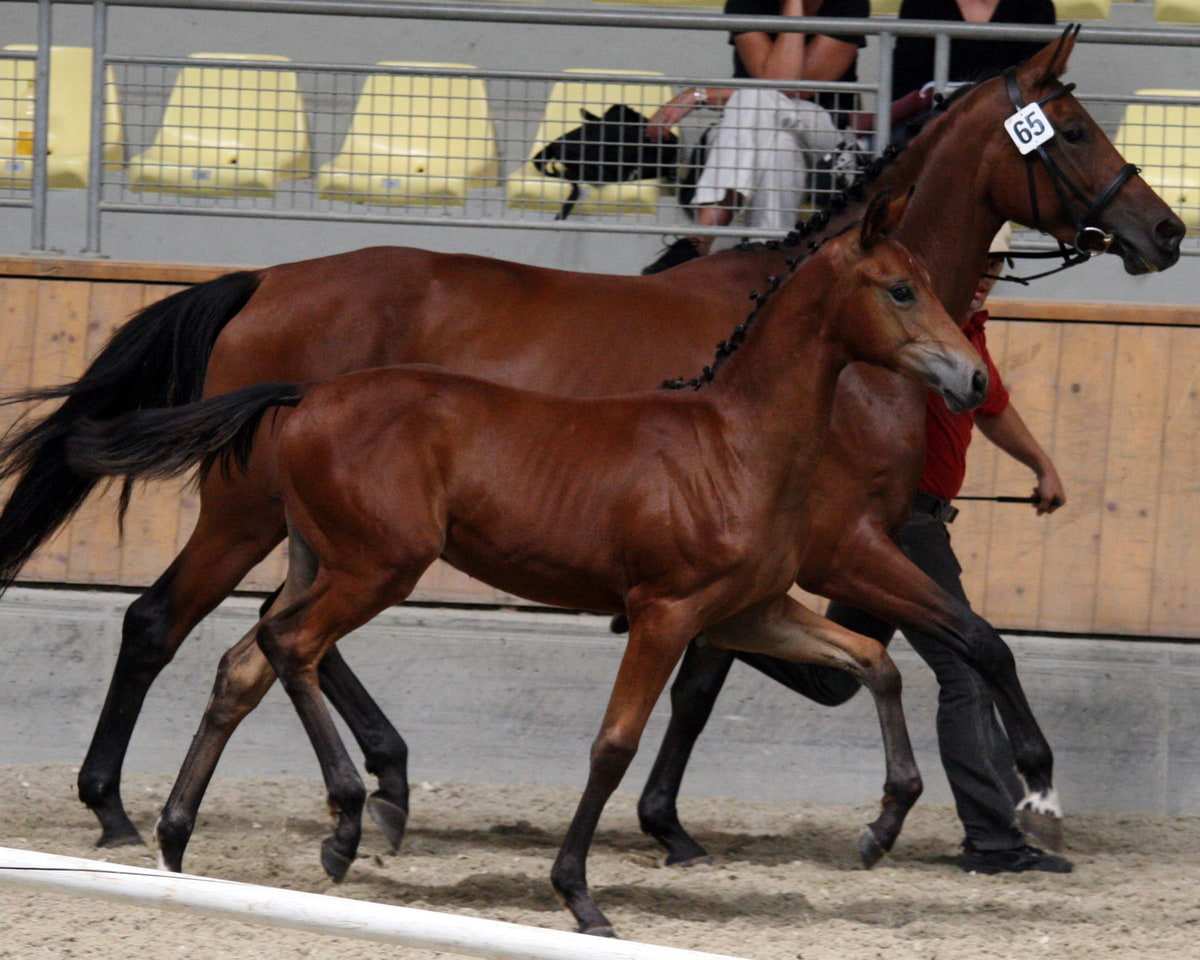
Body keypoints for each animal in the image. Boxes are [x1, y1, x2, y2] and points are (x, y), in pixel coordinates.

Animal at [0, 28, 1183, 855]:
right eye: (1078, 131)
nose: (1165, 230)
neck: (824, 349)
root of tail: (264, 281)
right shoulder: (848, 539)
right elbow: (972, 643)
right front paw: (1036, 794)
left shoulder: (797, 554)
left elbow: (735, 677)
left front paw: (671, 819)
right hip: (252, 512)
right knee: (172, 622)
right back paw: (123, 808)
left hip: (319, 529)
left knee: (277, 634)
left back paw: (381, 780)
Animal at [64, 192, 987, 936]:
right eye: (900, 288)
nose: (974, 378)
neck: (735, 441)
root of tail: (306, 396)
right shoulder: (666, 611)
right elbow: (613, 744)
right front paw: (579, 895)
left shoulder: (748, 613)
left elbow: (873, 663)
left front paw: (883, 826)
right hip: (375, 569)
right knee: (286, 648)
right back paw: (347, 820)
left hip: (314, 560)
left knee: (244, 663)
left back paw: (177, 836)